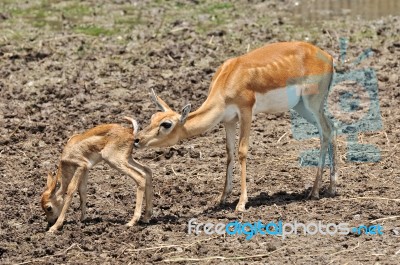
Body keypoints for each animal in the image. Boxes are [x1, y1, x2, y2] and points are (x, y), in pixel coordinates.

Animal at [135, 41, 338, 210]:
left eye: (166, 124)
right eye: (153, 117)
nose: (137, 139)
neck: (228, 78)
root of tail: (327, 56)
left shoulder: (246, 112)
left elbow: (242, 151)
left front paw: (241, 203)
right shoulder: (229, 120)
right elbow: (229, 153)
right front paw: (222, 198)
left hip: (312, 103)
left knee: (325, 131)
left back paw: (315, 191)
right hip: (302, 107)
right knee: (332, 127)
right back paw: (332, 188)